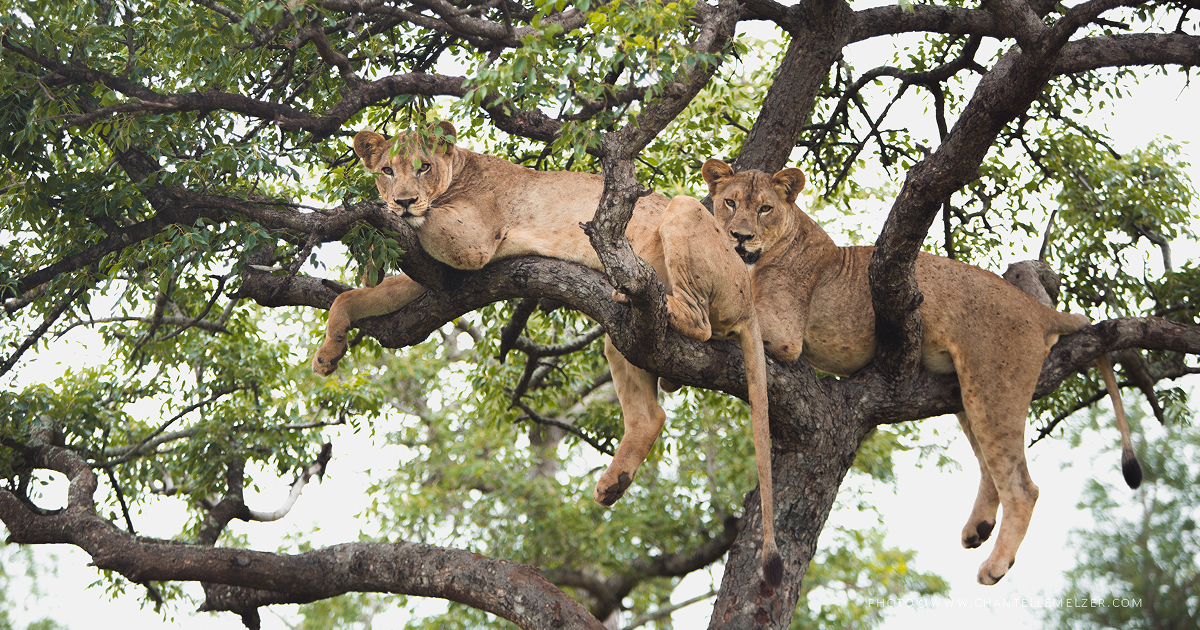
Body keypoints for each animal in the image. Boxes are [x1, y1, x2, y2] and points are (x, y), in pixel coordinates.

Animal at [313, 124, 782, 585]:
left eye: (423, 167)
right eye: (387, 170)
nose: (404, 198)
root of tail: (749, 295)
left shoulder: (472, 241)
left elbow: (420, 228)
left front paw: (380, 211)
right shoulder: (433, 273)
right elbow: (357, 297)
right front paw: (328, 352)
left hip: (684, 217)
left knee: (699, 322)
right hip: (627, 337)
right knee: (650, 413)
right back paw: (613, 483)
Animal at [701, 158, 1130, 586]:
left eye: (765, 209)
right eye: (729, 202)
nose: (740, 237)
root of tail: (1035, 306)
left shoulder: (785, 331)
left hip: (994, 387)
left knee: (1022, 487)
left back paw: (995, 565)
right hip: (968, 392)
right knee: (989, 468)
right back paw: (978, 528)